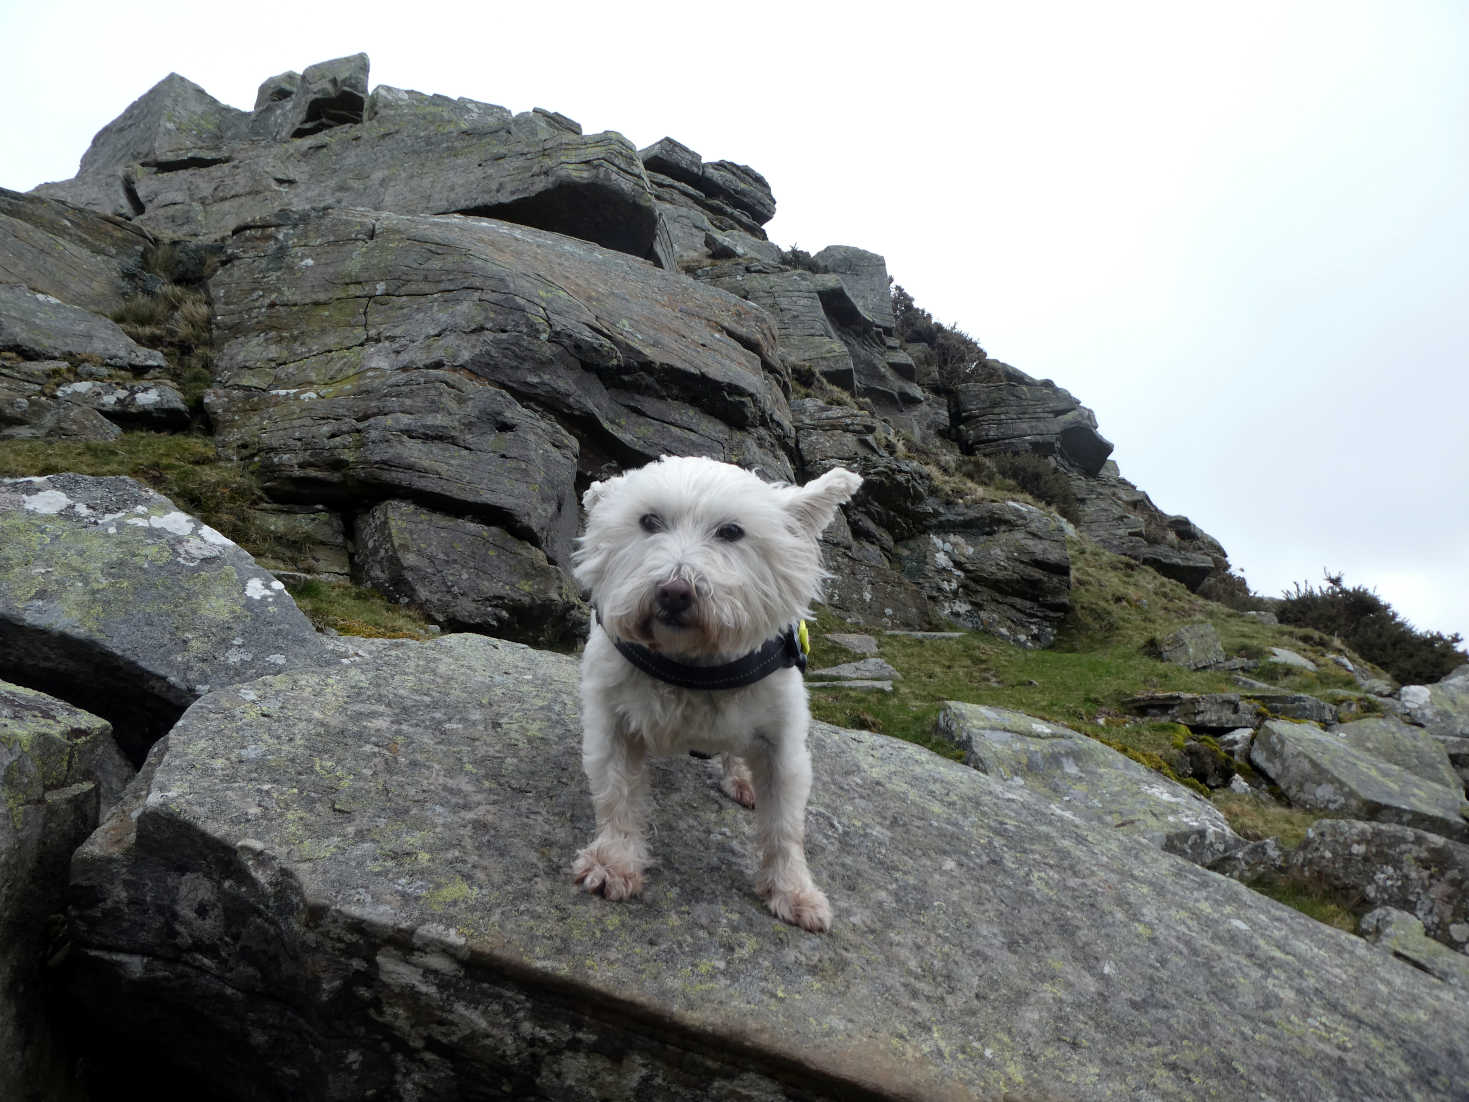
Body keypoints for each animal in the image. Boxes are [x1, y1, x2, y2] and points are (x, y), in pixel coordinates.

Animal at [564, 455, 857, 934]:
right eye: (649, 521)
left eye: (732, 531)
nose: (673, 591)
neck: (693, 665)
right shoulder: (612, 718)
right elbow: (617, 791)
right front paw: (613, 864)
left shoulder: (783, 739)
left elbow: (784, 823)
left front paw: (794, 892)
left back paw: (742, 779)